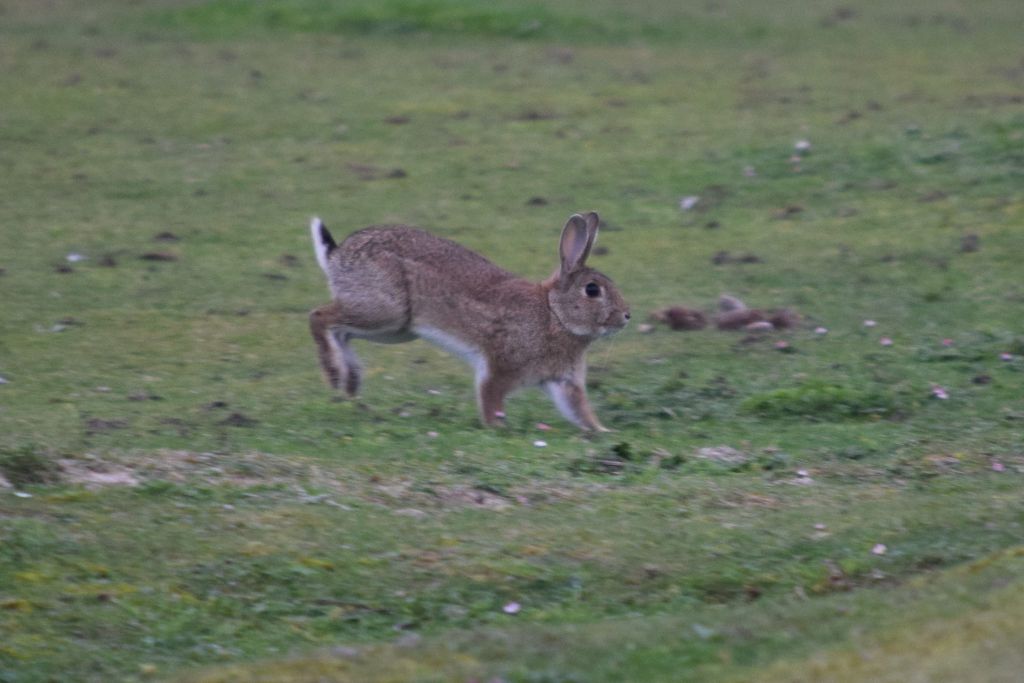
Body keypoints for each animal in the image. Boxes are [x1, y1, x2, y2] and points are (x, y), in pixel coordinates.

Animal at [309, 210, 630, 430]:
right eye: (592, 290)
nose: (627, 315)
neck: (555, 314)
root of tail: (337, 256)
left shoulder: (565, 382)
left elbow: (579, 410)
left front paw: (602, 431)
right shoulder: (500, 366)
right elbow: (490, 395)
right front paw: (496, 427)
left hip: (394, 329)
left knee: (342, 332)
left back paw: (350, 382)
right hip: (386, 311)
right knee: (319, 317)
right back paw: (335, 374)